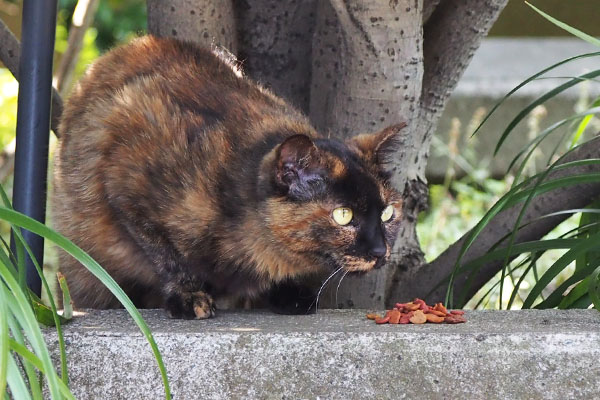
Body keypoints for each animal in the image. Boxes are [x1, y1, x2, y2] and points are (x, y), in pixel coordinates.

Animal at [54, 36, 406, 320]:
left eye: (388, 213)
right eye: (343, 215)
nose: (380, 252)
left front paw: (288, 292)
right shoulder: (125, 180)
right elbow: (165, 253)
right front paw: (188, 295)